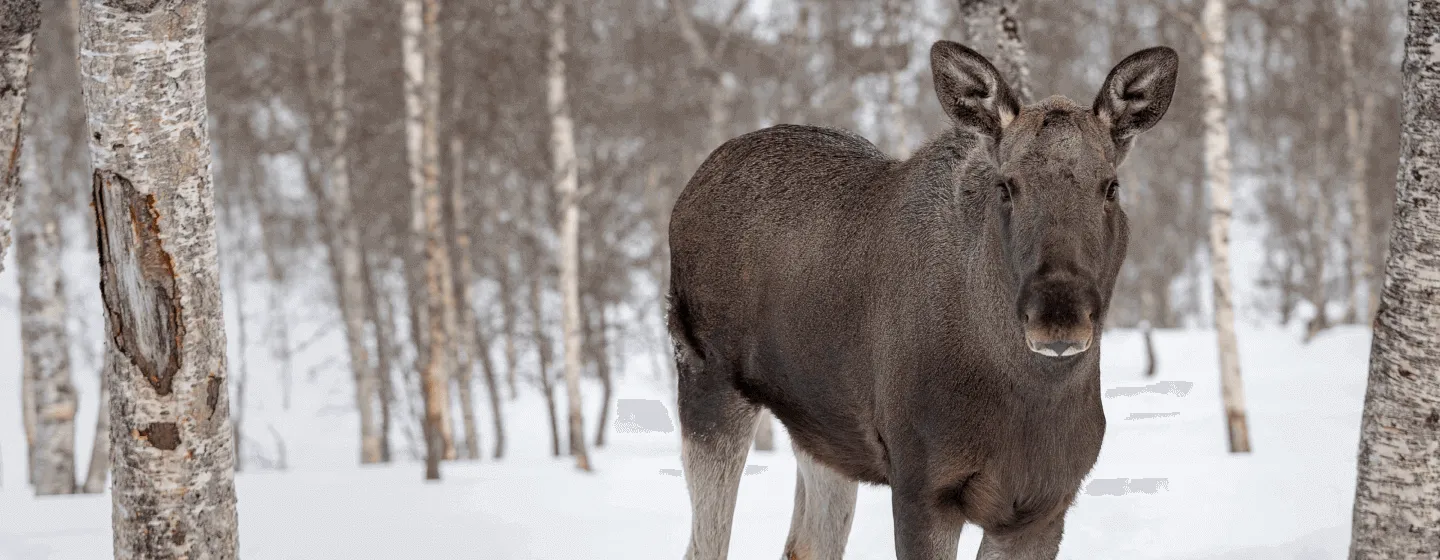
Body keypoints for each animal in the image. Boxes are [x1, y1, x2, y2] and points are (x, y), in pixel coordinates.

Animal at [668, 40, 1175, 558]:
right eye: (1006, 186)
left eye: (1111, 186)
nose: (1059, 317)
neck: (1030, 396)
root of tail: (690, 188)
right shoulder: (922, 486)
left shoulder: (1042, 506)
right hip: (708, 379)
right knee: (704, 545)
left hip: (823, 431)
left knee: (804, 543)